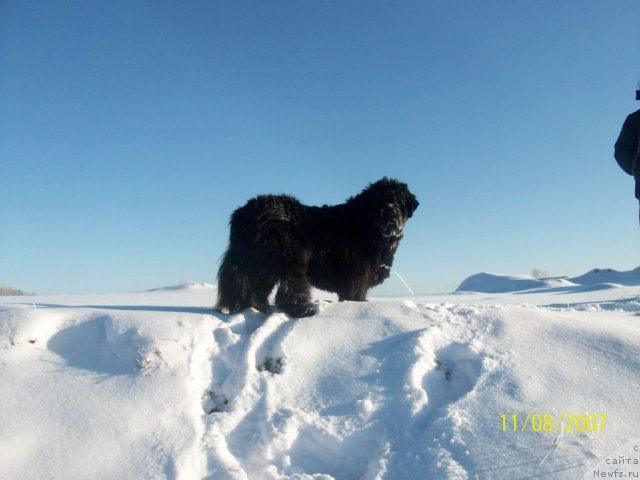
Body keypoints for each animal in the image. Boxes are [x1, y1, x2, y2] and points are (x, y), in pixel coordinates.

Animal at [215, 178, 418, 316]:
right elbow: (356, 297)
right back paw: (303, 310)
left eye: (400, 201)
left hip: (263, 266)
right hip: (289, 258)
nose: (391, 212)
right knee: (290, 290)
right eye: (379, 201)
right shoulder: (357, 280)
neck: (368, 227)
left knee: (256, 292)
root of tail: (241, 214)